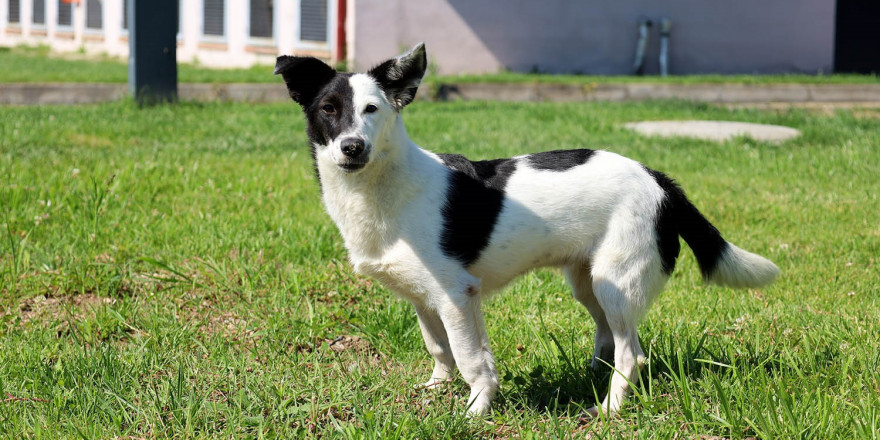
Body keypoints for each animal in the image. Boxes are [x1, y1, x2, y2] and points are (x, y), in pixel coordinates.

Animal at [276, 43, 776, 416]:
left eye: (372, 109)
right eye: (328, 109)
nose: (352, 147)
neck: (383, 188)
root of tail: (659, 180)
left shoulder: (455, 295)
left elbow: (470, 358)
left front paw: (476, 410)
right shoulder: (425, 298)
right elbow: (440, 349)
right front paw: (438, 389)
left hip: (616, 282)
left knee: (631, 352)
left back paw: (609, 409)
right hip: (586, 282)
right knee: (607, 338)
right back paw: (592, 376)